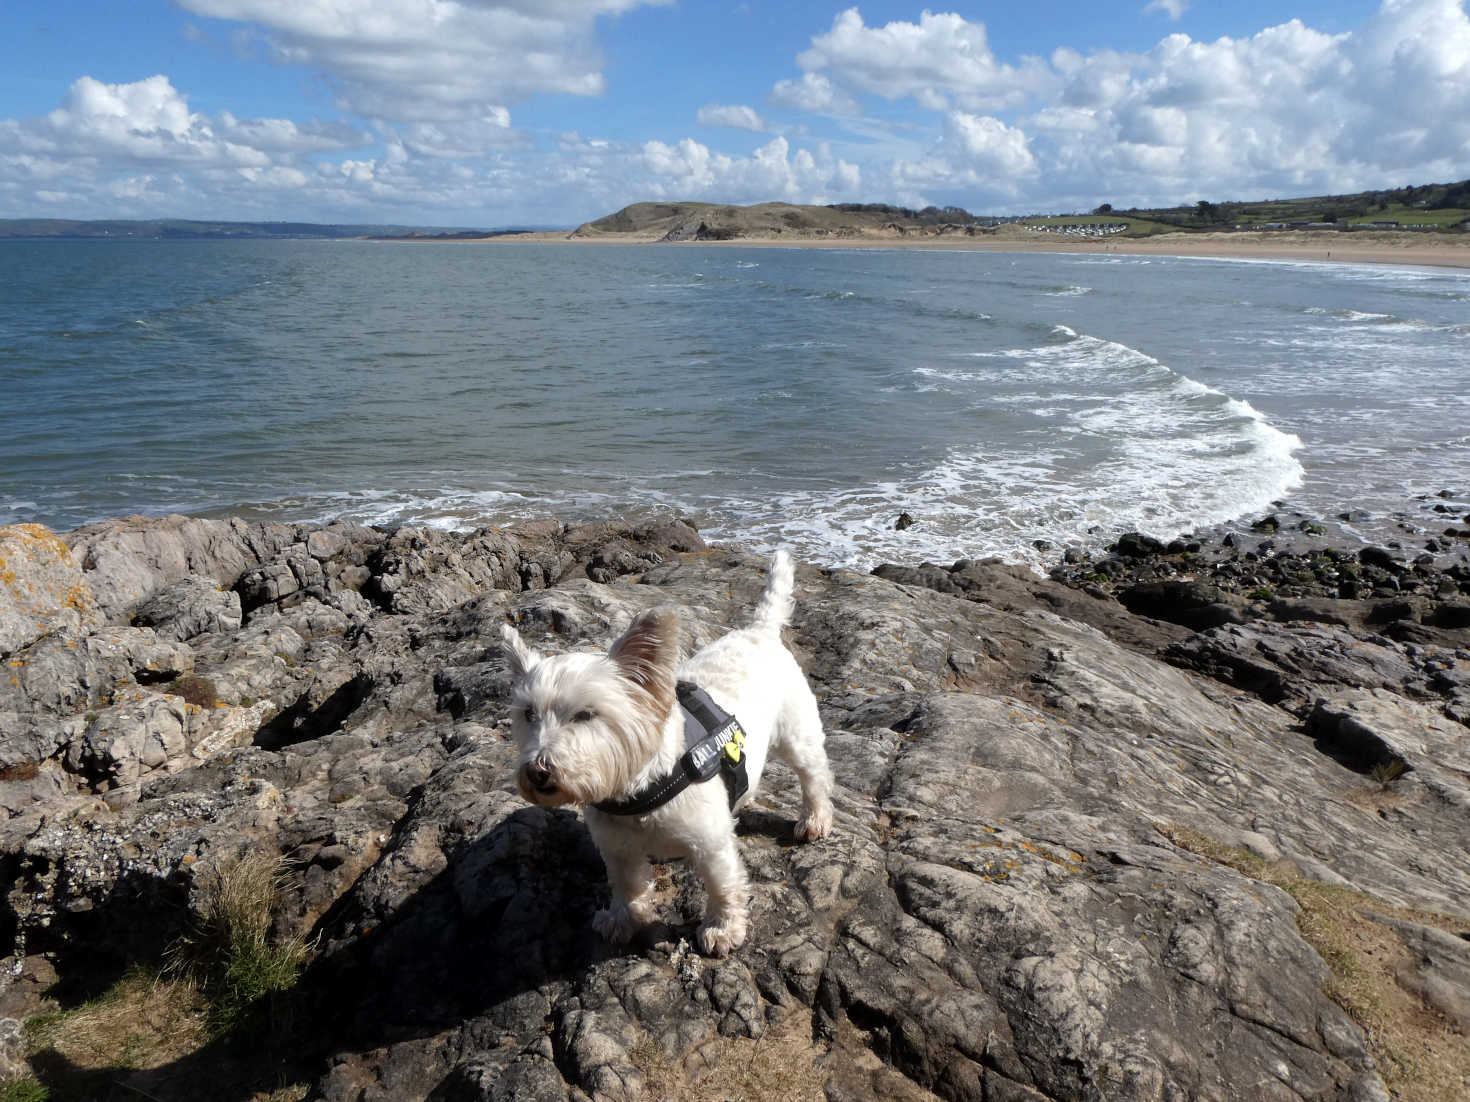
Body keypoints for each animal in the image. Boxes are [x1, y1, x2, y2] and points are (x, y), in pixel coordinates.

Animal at [499, 552, 834, 958]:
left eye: (585, 714)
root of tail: (760, 630)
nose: (538, 771)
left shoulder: (711, 843)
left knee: (814, 776)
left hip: (797, 734)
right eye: (528, 714)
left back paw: (814, 819)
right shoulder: (617, 848)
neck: (638, 788)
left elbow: (723, 885)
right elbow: (626, 885)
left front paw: (722, 929)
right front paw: (623, 919)